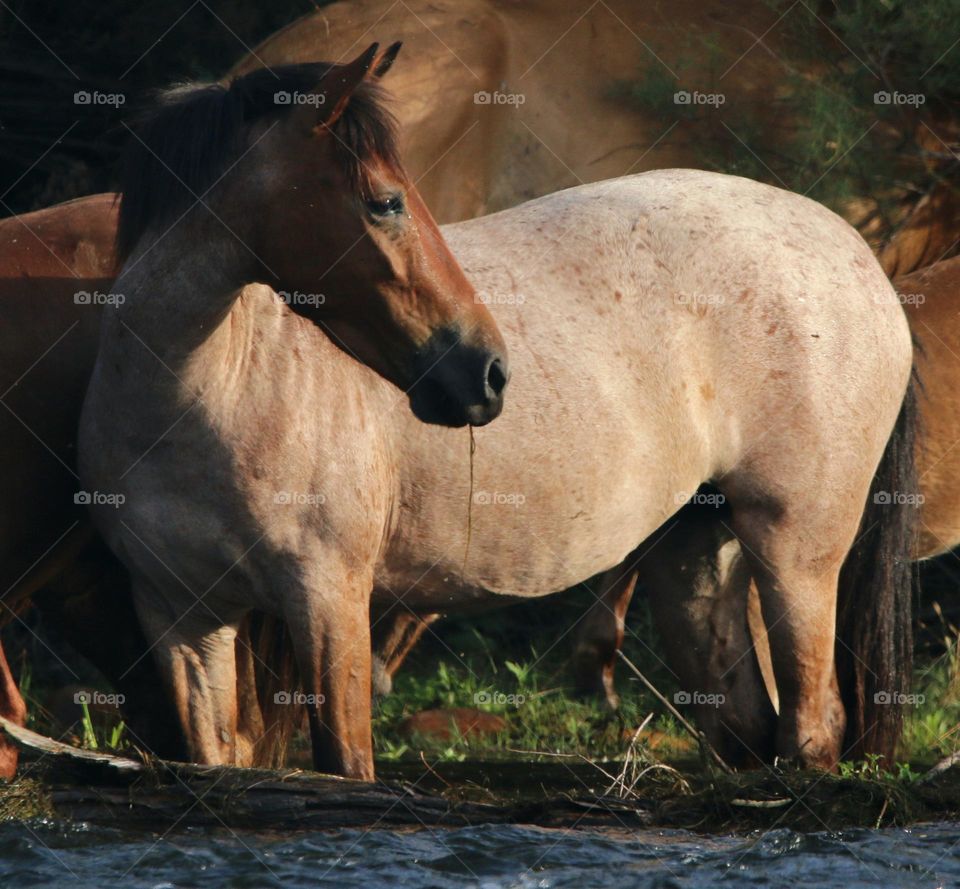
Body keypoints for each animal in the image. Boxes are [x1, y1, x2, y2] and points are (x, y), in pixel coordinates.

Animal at [79, 42, 916, 777]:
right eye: (386, 201)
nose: (485, 371)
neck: (201, 400)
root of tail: (860, 257)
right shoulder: (182, 620)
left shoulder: (327, 598)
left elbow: (347, 762)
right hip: (696, 552)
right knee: (748, 722)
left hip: (795, 548)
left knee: (812, 725)